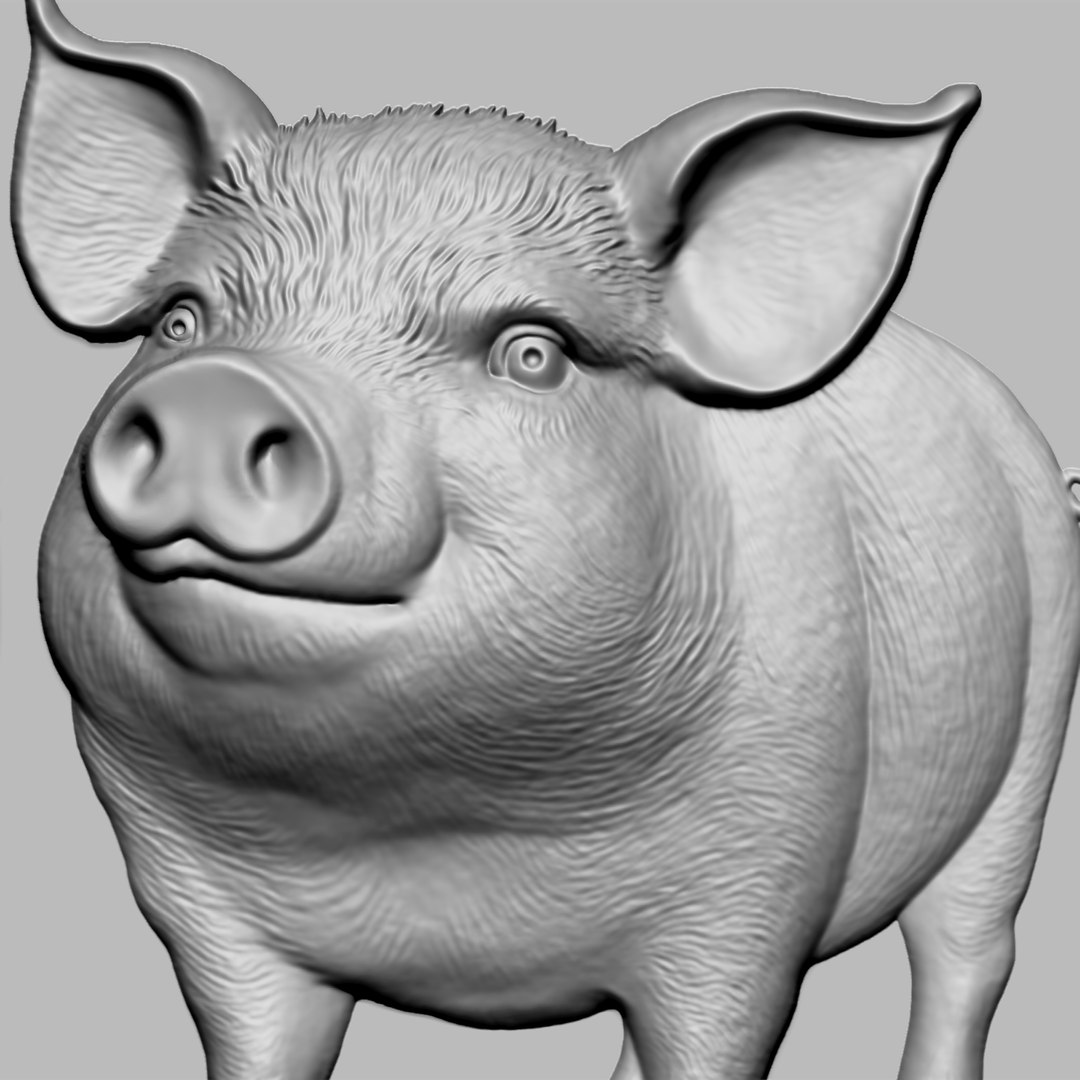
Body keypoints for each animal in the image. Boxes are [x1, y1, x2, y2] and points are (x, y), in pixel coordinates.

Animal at [12, 0, 1080, 1078]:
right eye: (180, 322)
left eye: (533, 352)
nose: (218, 389)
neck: (431, 835)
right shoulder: (191, 896)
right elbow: (258, 1040)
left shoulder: (761, 879)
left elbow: (720, 1034)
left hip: (1032, 731)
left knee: (971, 952)